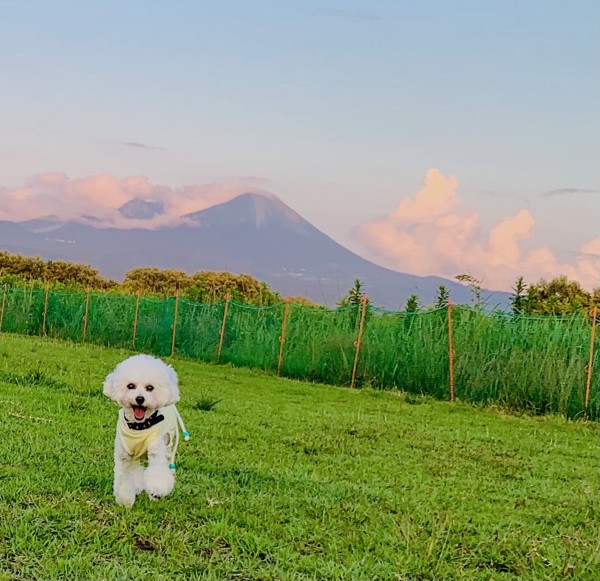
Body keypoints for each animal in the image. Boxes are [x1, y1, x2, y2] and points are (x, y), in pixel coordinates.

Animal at [102, 352, 189, 506]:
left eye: (150, 388)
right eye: (130, 386)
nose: (140, 399)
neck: (139, 427)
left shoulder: (157, 448)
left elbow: (158, 471)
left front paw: (157, 490)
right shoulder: (124, 456)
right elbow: (124, 477)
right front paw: (125, 500)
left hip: (168, 444)